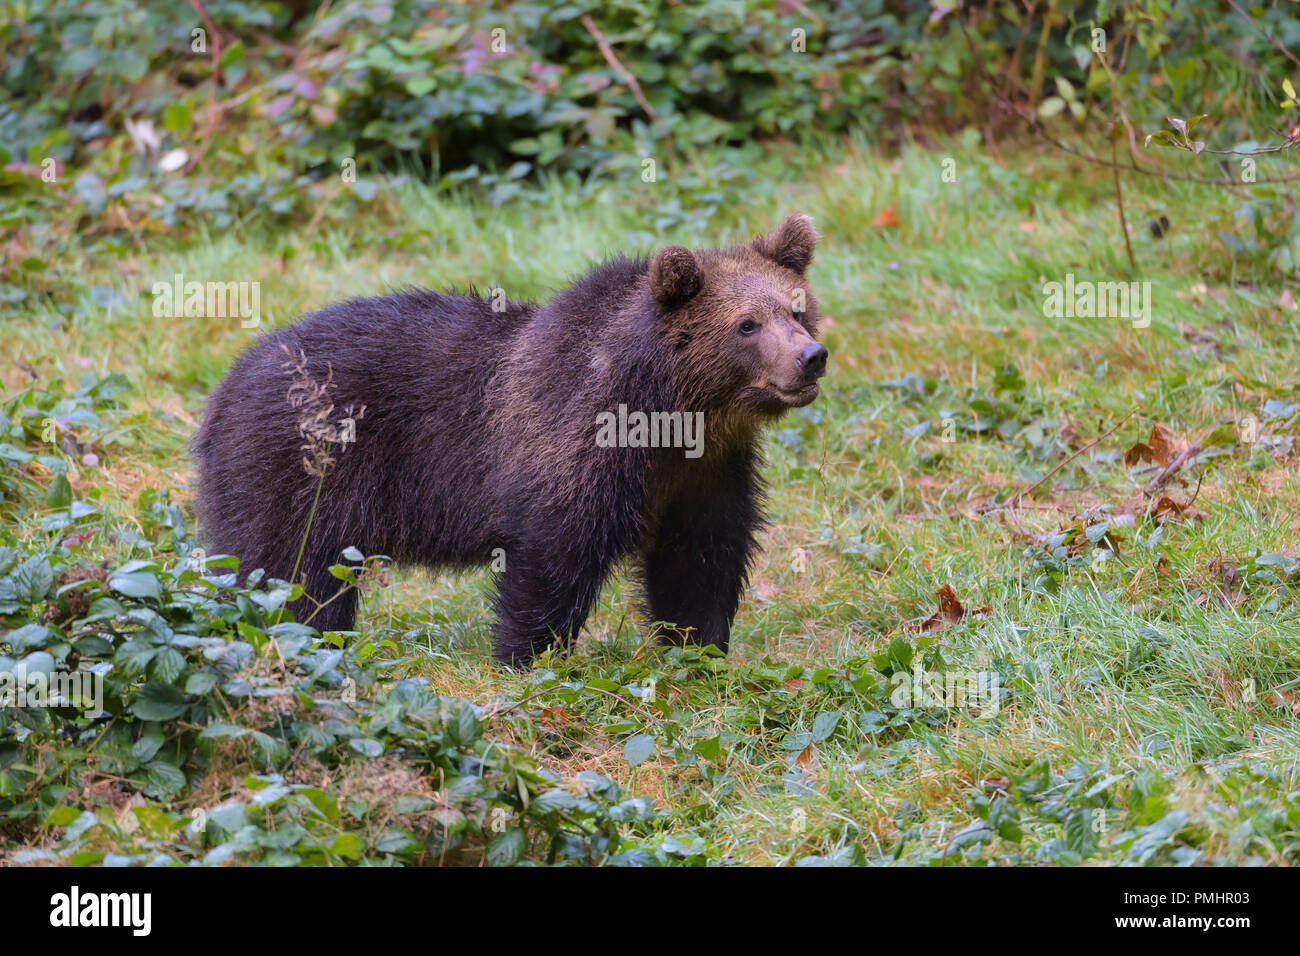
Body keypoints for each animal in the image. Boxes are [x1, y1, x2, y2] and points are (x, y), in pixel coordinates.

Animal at [192, 212, 828, 667]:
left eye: (798, 309)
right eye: (747, 324)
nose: (810, 357)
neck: (673, 416)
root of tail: (223, 388)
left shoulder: (706, 475)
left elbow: (699, 562)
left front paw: (700, 649)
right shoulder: (574, 445)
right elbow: (551, 561)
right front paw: (528, 658)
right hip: (298, 466)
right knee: (287, 572)